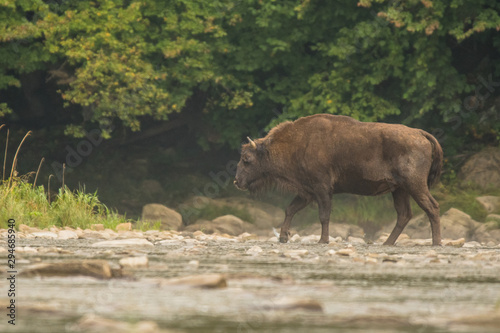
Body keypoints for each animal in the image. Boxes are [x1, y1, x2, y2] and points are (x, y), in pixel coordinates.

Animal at [232, 113, 444, 245]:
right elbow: (290, 209)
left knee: (431, 207)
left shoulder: (322, 188)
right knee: (404, 214)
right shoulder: (307, 191)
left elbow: (324, 215)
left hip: (414, 185)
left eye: (247, 159)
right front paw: (283, 237)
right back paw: (387, 243)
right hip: (399, 189)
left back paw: (436, 243)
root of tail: (420, 133)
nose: (237, 182)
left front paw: (322, 240)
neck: (299, 143)